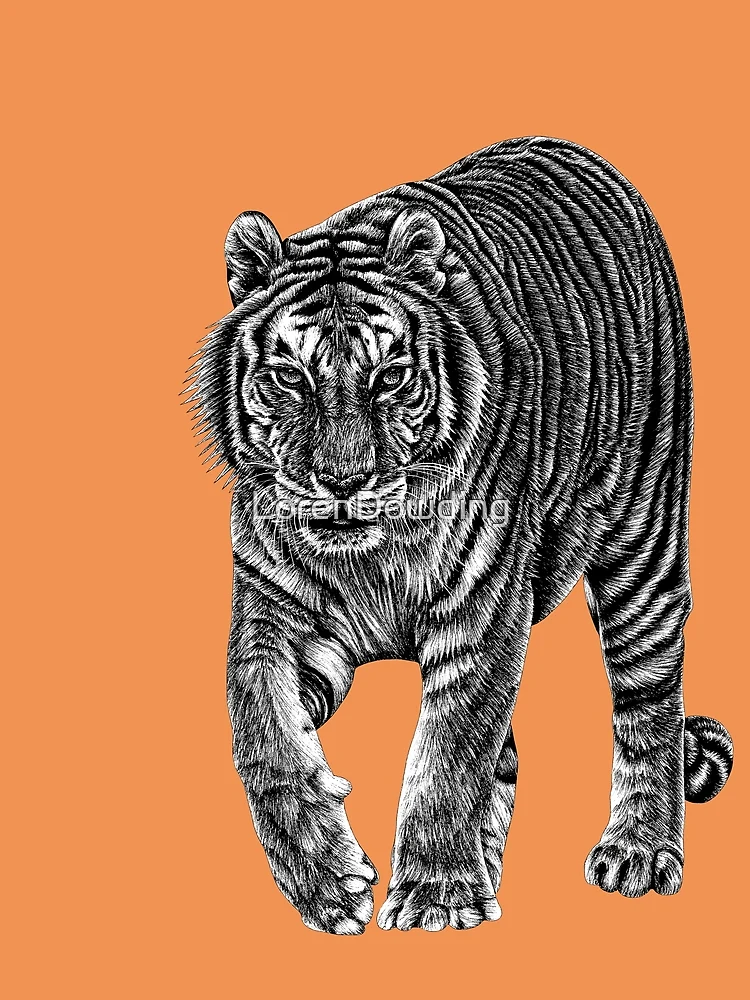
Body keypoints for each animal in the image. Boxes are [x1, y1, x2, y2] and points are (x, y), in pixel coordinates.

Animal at [188, 136, 733, 934]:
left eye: (389, 378)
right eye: (291, 378)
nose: (342, 481)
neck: (372, 558)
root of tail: (574, 148)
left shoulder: (484, 615)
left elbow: (448, 755)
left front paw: (435, 899)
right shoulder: (274, 616)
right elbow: (264, 735)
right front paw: (329, 883)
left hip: (644, 548)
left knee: (649, 704)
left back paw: (636, 851)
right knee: (507, 758)